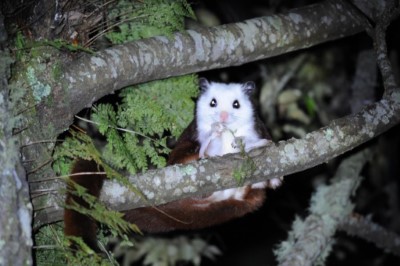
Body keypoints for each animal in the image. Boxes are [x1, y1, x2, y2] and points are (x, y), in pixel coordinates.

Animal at [64, 77, 282, 251]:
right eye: (213, 102)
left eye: (236, 104)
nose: (223, 117)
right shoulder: (194, 132)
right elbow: (181, 153)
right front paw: (214, 136)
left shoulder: (258, 128)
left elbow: (259, 138)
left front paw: (262, 154)